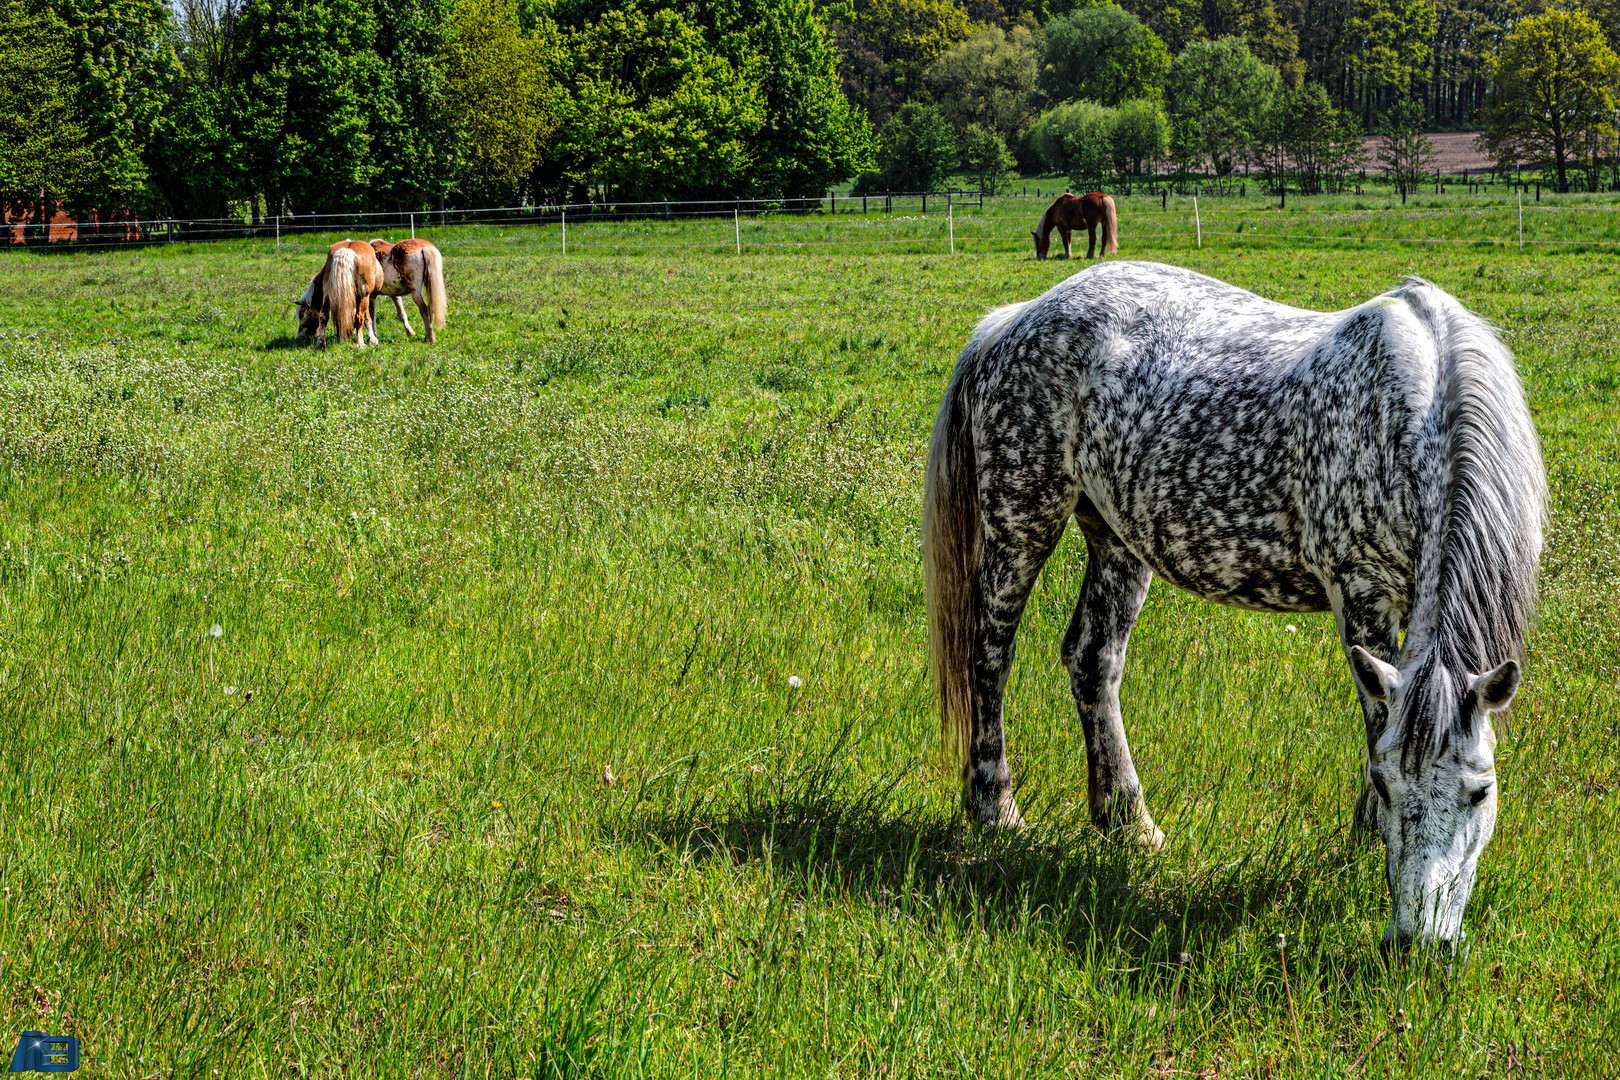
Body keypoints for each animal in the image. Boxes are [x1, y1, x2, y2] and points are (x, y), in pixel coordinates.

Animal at [926, 259, 1542, 945]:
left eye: (1481, 792)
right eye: (1386, 787)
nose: (1418, 943)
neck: (1419, 413)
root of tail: (1017, 318)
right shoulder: (1362, 593)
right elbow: (1376, 722)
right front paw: (1362, 841)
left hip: (1116, 537)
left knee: (1092, 660)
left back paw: (1129, 824)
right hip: (1023, 520)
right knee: (990, 653)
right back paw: (995, 807)